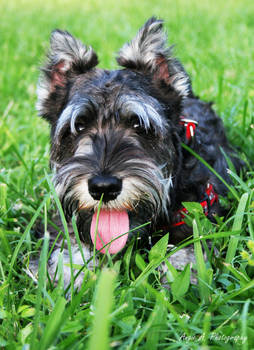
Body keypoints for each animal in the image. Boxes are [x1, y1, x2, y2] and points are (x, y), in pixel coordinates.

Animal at [34, 17, 243, 288]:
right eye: (78, 126)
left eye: (138, 124)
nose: (103, 187)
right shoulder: (64, 223)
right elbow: (70, 250)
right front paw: (69, 283)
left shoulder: (197, 215)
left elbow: (186, 256)